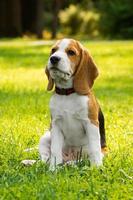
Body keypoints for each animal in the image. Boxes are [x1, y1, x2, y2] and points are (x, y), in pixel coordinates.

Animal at [39, 38, 106, 170]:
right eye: (53, 50)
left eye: (71, 52)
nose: (54, 58)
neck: (67, 94)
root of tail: (69, 158)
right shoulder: (55, 125)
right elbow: (55, 150)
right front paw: (53, 169)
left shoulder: (91, 123)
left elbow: (95, 148)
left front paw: (96, 168)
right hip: (45, 137)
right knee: (45, 159)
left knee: (83, 160)